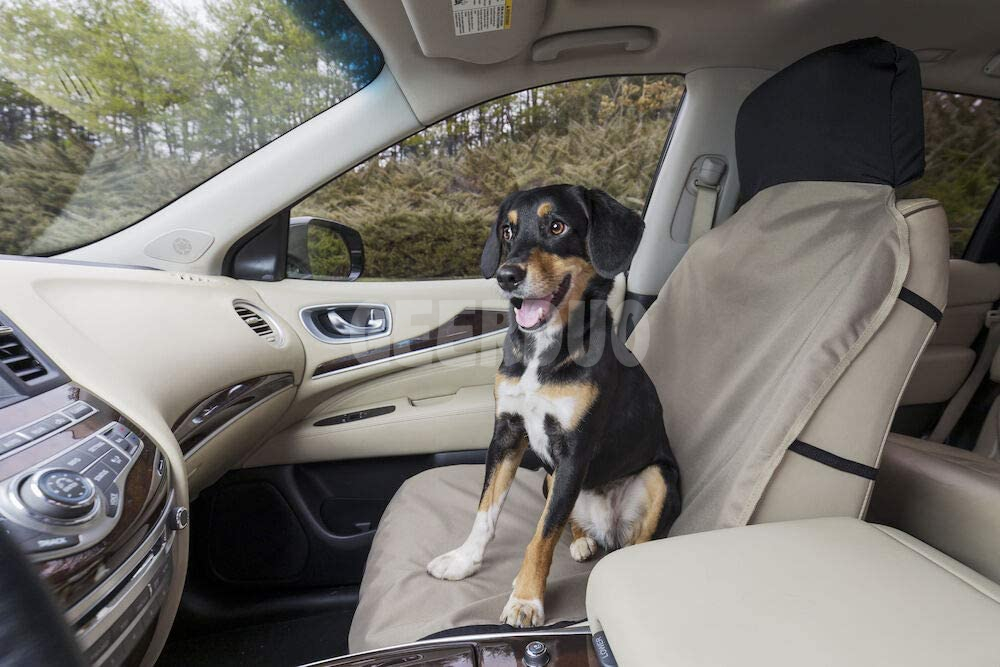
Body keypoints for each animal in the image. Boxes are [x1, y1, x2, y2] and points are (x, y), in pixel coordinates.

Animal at [426, 185, 684, 628]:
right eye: (508, 230)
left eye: (558, 226)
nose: (506, 277)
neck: (543, 349)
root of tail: (607, 527)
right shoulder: (507, 434)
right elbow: (486, 511)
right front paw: (463, 561)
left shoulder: (574, 452)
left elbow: (542, 535)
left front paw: (527, 599)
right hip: (549, 479)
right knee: (570, 521)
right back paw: (583, 541)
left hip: (658, 477)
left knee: (633, 540)